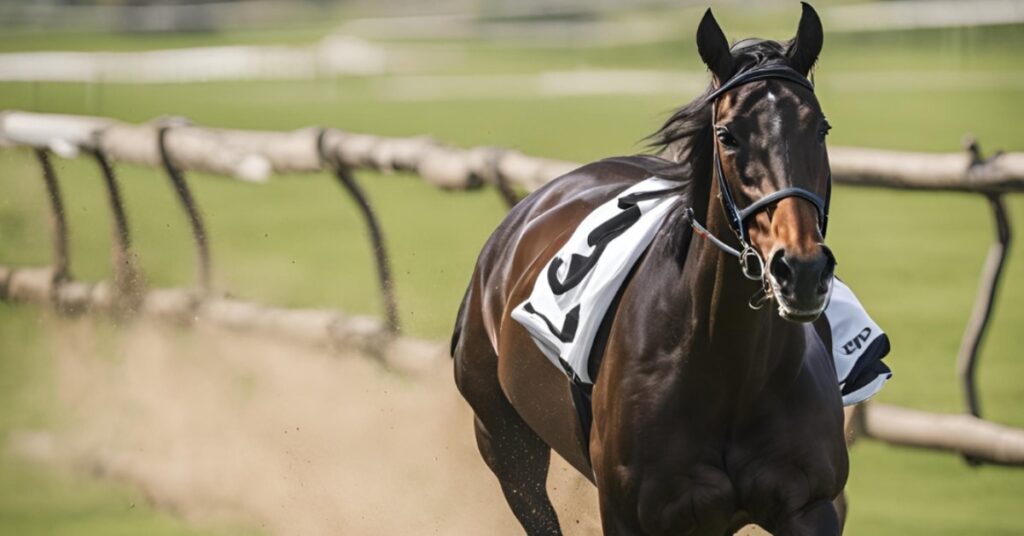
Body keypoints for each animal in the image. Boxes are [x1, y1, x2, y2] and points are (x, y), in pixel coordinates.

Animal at [452, 3, 843, 532]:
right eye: (728, 135)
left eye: (820, 128)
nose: (800, 270)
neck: (728, 371)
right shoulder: (630, 515)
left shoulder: (810, 504)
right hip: (507, 448)